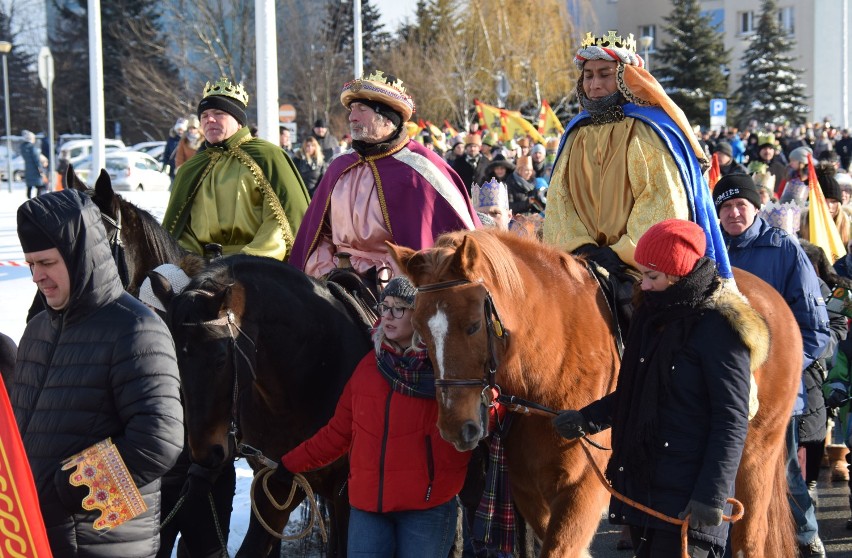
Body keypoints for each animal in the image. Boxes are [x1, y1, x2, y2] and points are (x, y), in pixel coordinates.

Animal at [390, 228, 804, 558]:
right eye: (421, 332)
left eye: (474, 325)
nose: (455, 428)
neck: (552, 367)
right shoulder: (528, 489)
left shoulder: (583, 489)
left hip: (755, 457)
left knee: (750, 539)